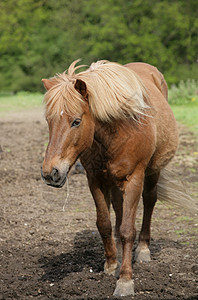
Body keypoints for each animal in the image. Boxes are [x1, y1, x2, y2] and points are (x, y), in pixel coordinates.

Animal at [40, 59, 179, 296]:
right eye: (49, 121)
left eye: (76, 122)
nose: (51, 172)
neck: (118, 131)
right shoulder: (95, 180)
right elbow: (104, 223)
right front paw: (112, 264)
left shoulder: (134, 179)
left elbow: (127, 230)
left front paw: (125, 280)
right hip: (114, 183)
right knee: (119, 210)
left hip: (152, 172)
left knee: (149, 201)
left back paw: (143, 249)